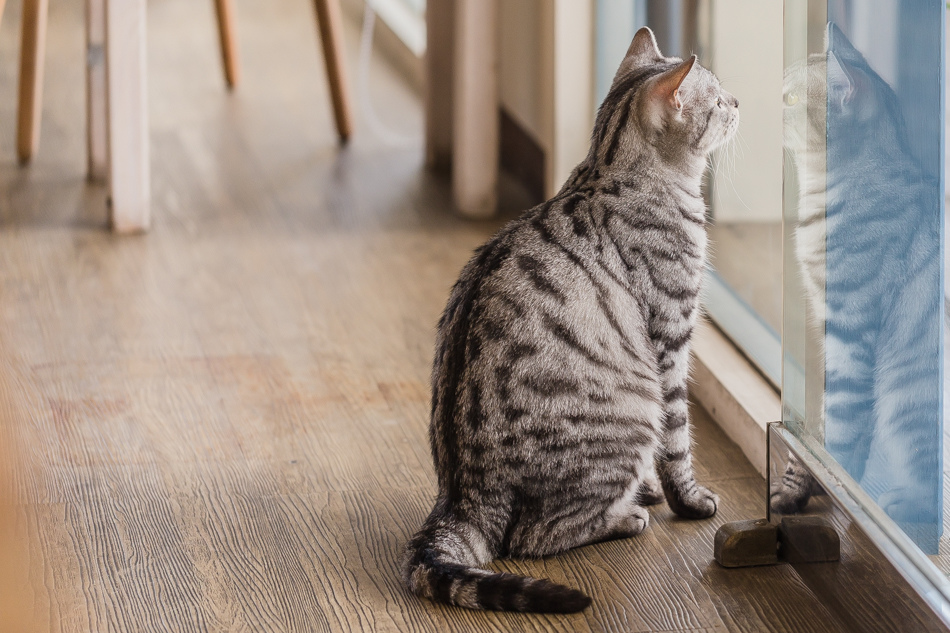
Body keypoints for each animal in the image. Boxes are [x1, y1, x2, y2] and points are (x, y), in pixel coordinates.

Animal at [398, 25, 740, 612]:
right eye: (717, 101)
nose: (738, 102)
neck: (608, 171)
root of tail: (462, 500)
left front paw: (652, 487)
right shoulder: (671, 340)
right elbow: (677, 442)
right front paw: (688, 500)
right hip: (631, 412)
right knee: (533, 537)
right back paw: (626, 516)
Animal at [772, 24, 944, 544]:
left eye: (790, 98)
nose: (759, 99)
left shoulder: (848, 332)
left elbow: (841, 436)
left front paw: (821, 488)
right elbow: (823, 432)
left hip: (907, 401)